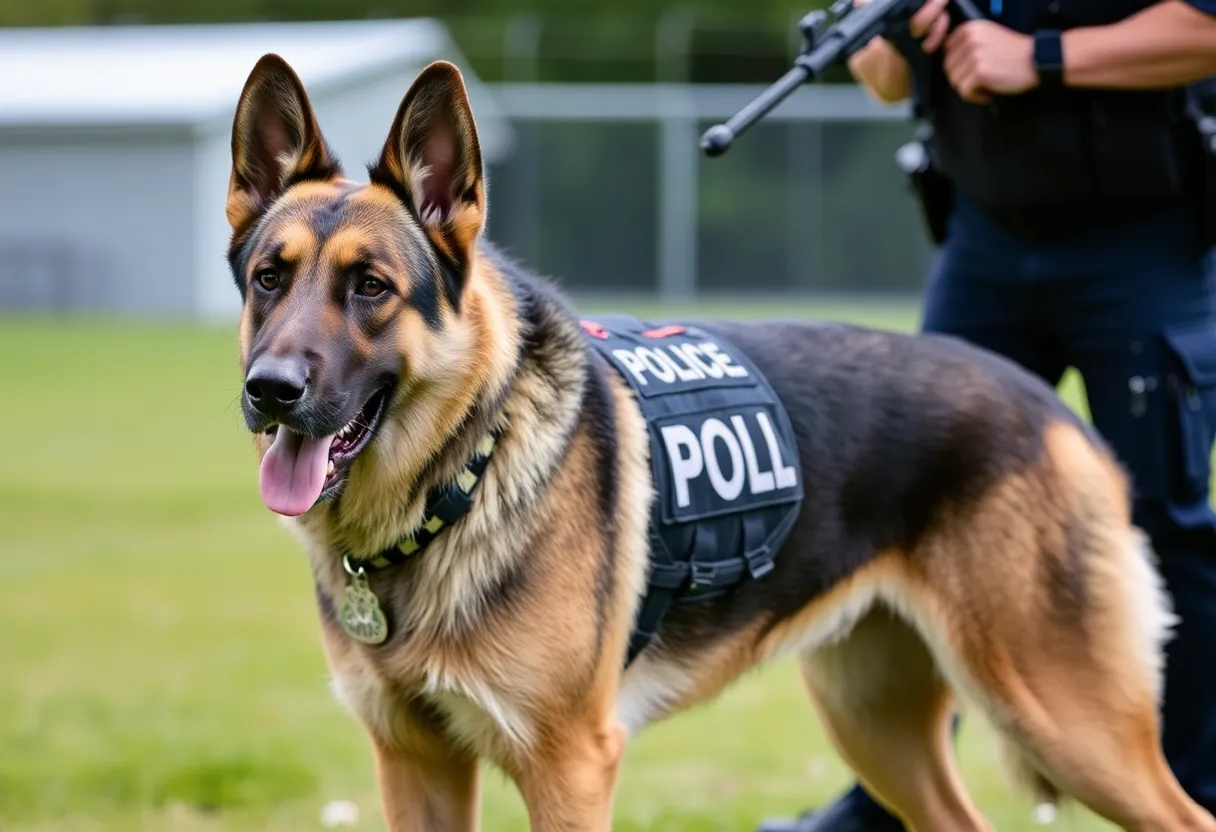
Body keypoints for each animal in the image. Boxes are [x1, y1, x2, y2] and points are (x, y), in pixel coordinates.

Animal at [223, 55, 1216, 827]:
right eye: (270, 278)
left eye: (371, 288)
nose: (269, 391)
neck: (466, 472)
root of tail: (1056, 413)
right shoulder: (415, 762)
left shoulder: (570, 767)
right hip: (880, 727)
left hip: (1064, 717)